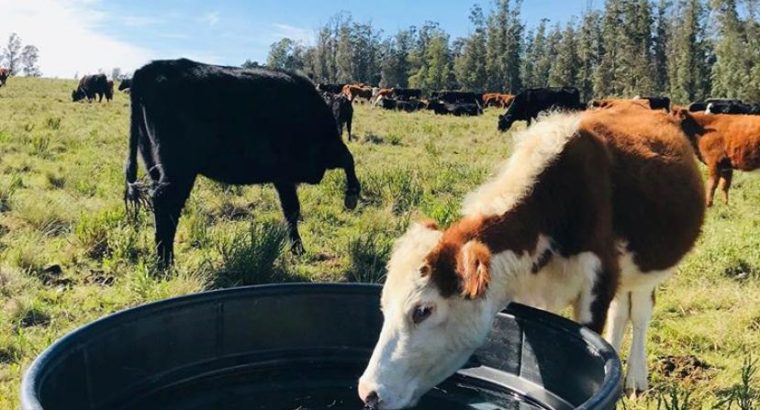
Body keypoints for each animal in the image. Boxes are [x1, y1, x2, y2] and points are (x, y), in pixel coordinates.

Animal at [124, 60, 360, 266]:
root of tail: (149, 69)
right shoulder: (326, 151)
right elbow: (349, 159)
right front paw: (351, 195)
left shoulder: (283, 176)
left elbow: (291, 209)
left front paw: (297, 248)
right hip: (179, 170)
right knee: (166, 204)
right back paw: (166, 264)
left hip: (154, 166)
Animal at [360, 104, 704, 408]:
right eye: (384, 305)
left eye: (422, 310)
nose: (368, 392)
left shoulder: (597, 283)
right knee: (621, 312)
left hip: (649, 269)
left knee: (641, 312)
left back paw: (634, 380)